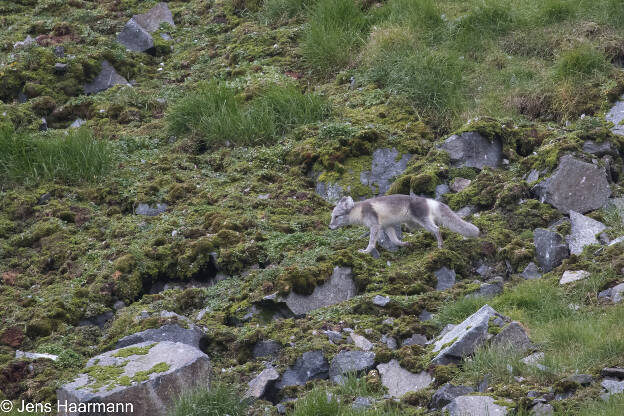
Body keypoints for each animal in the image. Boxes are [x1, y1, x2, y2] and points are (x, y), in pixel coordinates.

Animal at [330, 194, 480, 254]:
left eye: (337, 216)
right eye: (332, 216)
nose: (329, 227)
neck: (360, 211)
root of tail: (428, 200)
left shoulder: (375, 225)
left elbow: (372, 241)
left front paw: (366, 251)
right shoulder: (387, 226)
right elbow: (394, 240)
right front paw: (405, 244)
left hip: (422, 221)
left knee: (437, 229)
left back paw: (440, 245)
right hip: (413, 224)